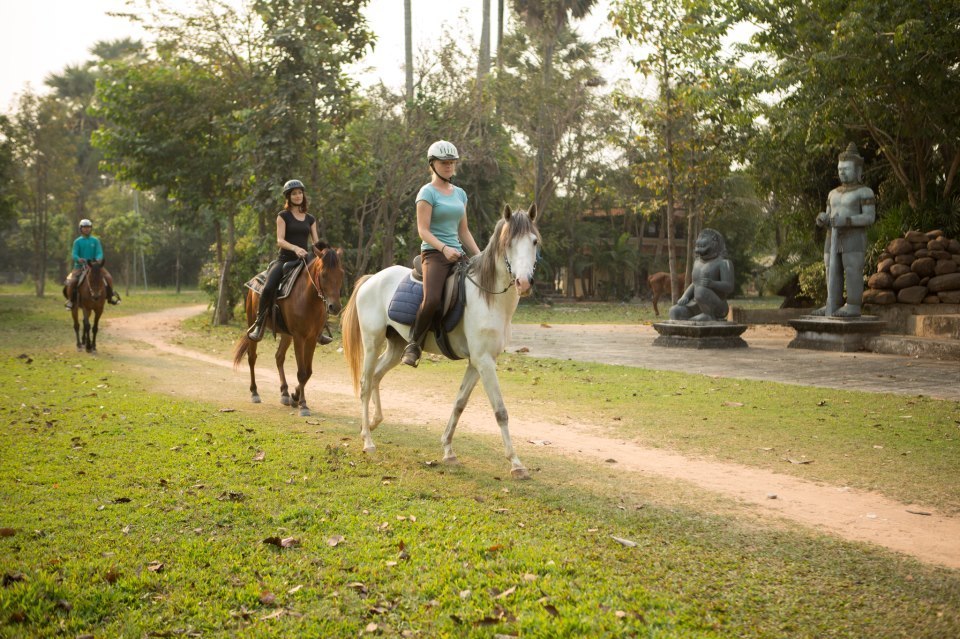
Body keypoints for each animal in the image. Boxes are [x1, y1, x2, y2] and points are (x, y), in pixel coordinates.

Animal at [232, 245, 344, 416]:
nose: (335, 307)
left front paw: (294, 397)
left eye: (341, 274)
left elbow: (308, 371)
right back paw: (255, 392)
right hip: (253, 323)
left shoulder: (312, 338)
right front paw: (303, 405)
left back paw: (284, 393)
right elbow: (302, 372)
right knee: (252, 357)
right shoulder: (299, 337)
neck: (308, 298)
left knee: (279, 357)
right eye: (324, 275)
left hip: (286, 334)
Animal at [344, 202, 540, 478]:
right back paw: (368, 441)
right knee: (364, 383)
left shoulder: (477, 363)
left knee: (376, 377)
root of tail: (371, 279)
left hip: (396, 346)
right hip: (372, 342)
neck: (488, 296)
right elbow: (500, 411)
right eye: (509, 243)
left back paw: (371, 424)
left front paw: (448, 450)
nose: (523, 282)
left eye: (534, 241)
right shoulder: (484, 362)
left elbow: (459, 403)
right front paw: (516, 464)